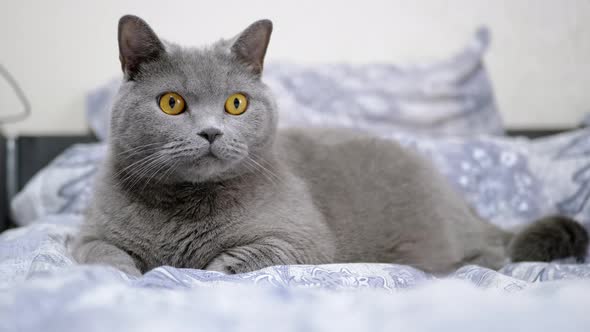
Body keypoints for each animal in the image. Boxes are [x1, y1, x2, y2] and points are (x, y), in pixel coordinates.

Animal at [73, 15, 588, 276]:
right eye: (172, 103)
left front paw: (189, 273)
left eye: (236, 104)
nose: (211, 132)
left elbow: (227, 264)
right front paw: (130, 278)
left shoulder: (301, 241)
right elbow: (104, 258)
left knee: (493, 250)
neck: (182, 209)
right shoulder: (89, 236)